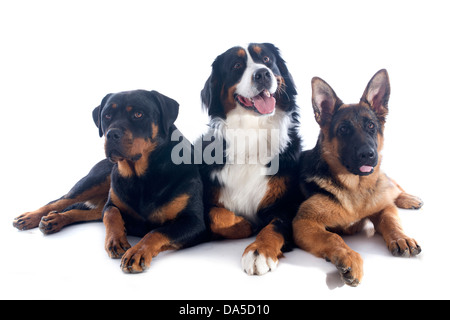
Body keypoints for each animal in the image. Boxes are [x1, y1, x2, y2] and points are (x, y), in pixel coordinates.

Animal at [198, 43, 300, 276]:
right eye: (236, 65)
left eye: (267, 59)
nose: (262, 74)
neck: (252, 134)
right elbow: (217, 216)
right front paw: (244, 224)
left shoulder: (286, 205)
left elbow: (273, 227)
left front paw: (258, 251)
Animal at [294, 69, 424, 284]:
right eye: (343, 129)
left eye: (371, 126)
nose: (368, 155)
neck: (355, 187)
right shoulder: (303, 223)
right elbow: (332, 237)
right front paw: (349, 257)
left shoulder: (383, 207)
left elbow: (391, 220)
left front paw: (401, 238)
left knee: (393, 186)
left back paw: (408, 198)